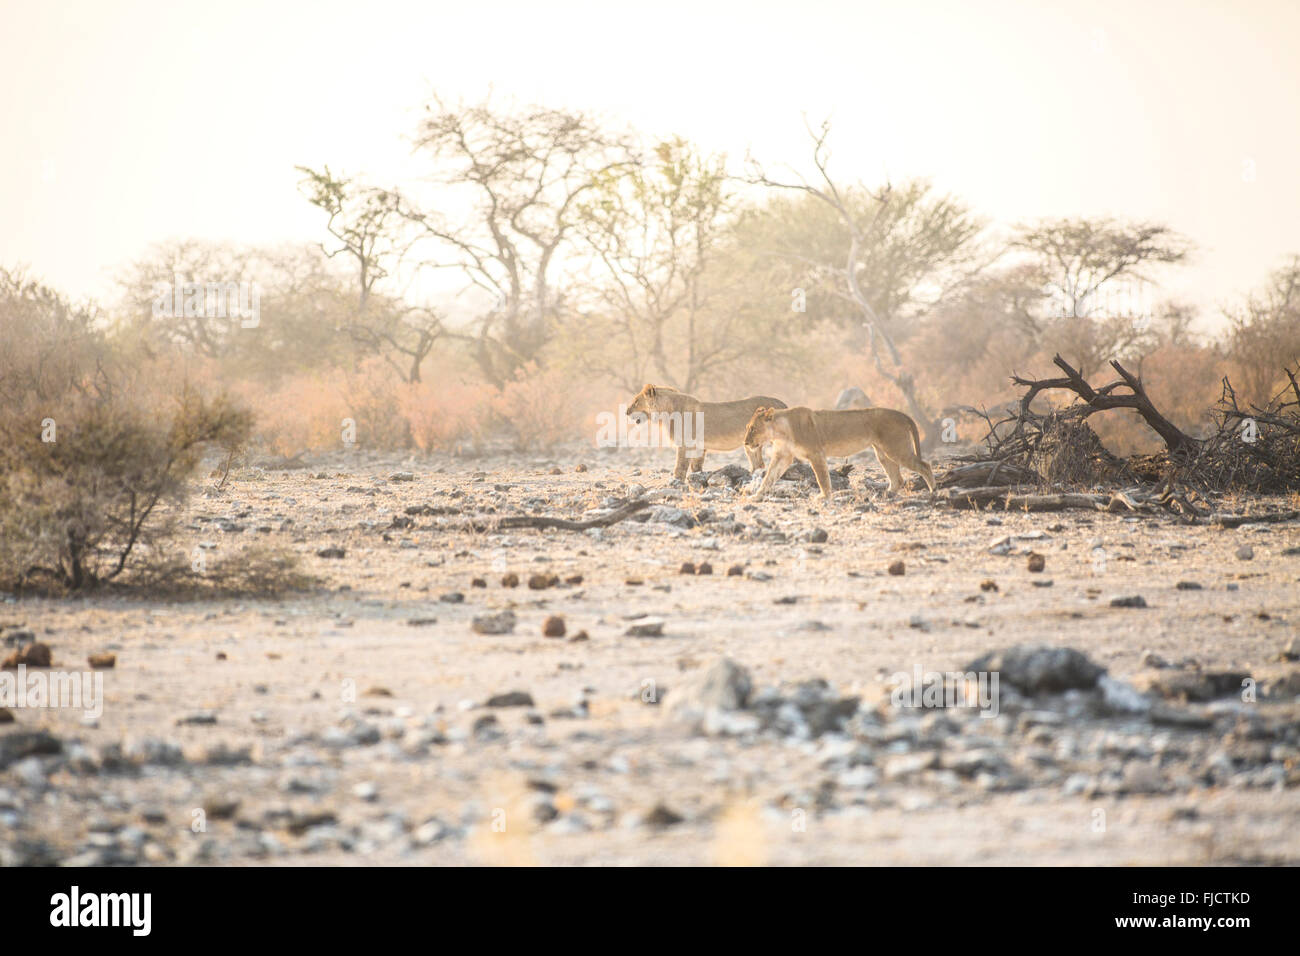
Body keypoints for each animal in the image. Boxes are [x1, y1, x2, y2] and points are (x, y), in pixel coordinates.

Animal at [626, 384, 788, 479]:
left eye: (636, 401)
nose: (626, 412)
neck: (664, 413)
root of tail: (782, 403)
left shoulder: (685, 444)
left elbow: (680, 467)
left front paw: (675, 483)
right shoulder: (699, 446)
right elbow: (696, 467)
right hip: (751, 445)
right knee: (758, 464)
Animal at [743, 405, 936, 502]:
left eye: (752, 428)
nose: (745, 442)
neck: (780, 431)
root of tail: (903, 415)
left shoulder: (816, 453)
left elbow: (822, 478)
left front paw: (824, 496)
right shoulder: (783, 456)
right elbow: (769, 477)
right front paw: (756, 495)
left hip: (896, 448)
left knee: (925, 466)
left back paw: (934, 491)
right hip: (882, 452)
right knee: (898, 478)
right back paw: (886, 494)